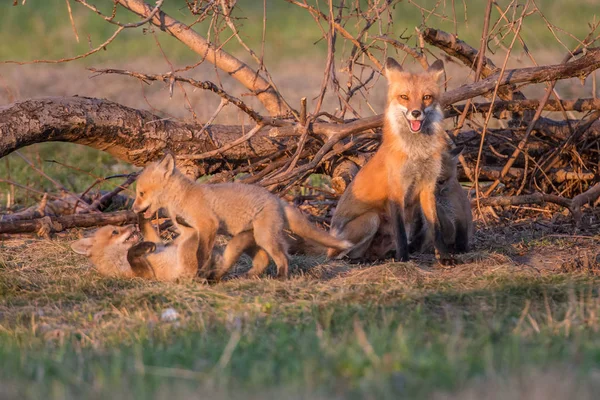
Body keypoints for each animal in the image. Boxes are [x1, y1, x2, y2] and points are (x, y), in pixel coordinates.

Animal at [131, 155, 352, 280]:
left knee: (283, 258)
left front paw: (199, 273)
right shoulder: (189, 229)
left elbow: (202, 254)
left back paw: (281, 278)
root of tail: (277, 199)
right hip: (251, 238)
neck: (183, 197)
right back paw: (247, 276)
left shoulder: (207, 225)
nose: (134, 209)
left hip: (264, 237)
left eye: (141, 193)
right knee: (263, 260)